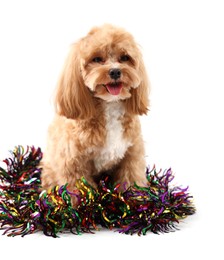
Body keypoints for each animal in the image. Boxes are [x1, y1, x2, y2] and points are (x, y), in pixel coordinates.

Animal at [41, 23, 150, 199]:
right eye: (97, 59)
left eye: (125, 57)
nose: (115, 71)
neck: (109, 106)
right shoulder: (73, 163)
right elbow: (78, 191)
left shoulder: (132, 155)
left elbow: (131, 180)